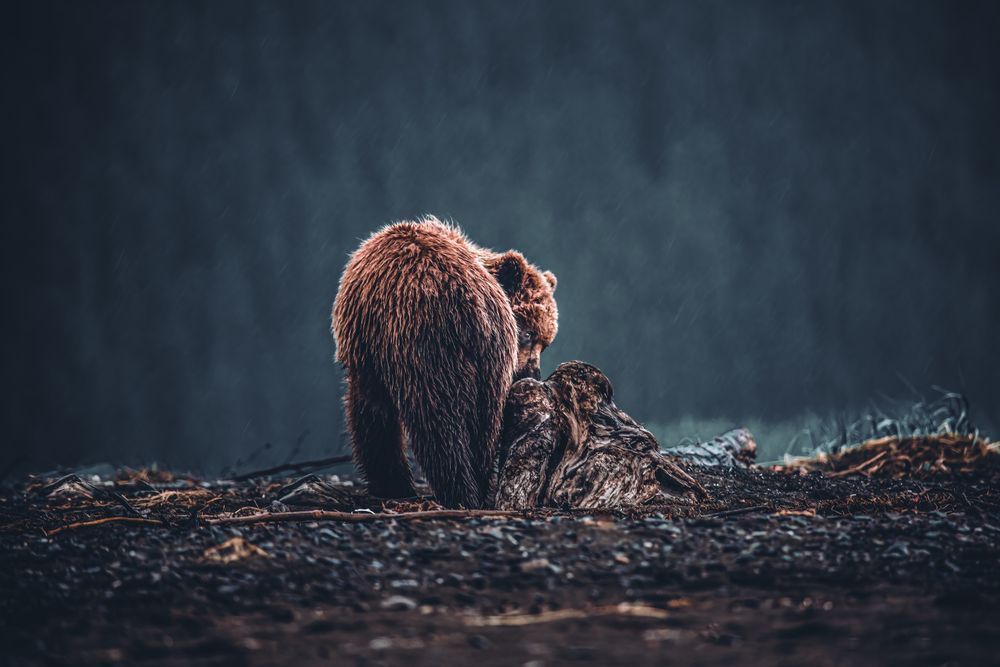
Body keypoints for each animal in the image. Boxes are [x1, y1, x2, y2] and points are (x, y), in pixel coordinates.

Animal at [332, 216, 558, 508]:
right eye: (529, 334)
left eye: (545, 341)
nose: (532, 373)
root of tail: (475, 308)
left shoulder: (369, 347)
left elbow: (373, 410)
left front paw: (389, 483)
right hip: (490, 362)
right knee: (485, 425)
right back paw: (477, 488)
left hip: (425, 347)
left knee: (437, 420)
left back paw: (457, 492)